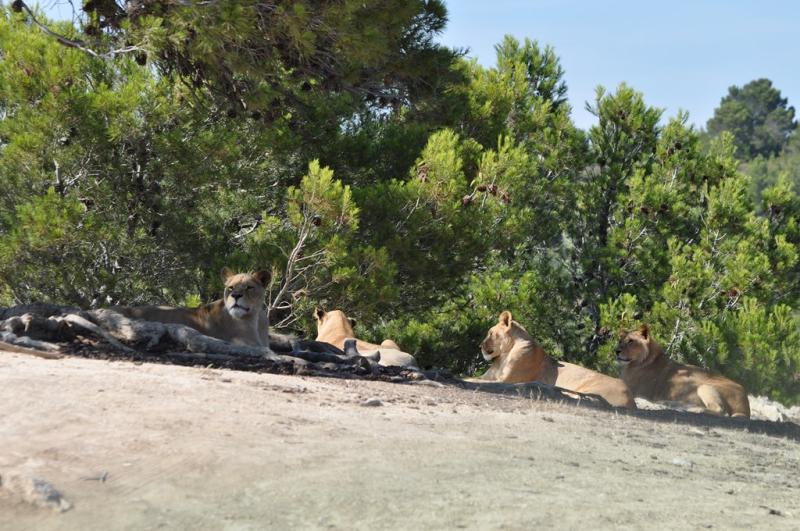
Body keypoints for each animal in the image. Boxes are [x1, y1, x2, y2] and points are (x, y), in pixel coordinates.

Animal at [479, 311, 636, 409]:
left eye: (490, 333)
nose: (480, 346)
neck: (502, 357)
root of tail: (632, 400)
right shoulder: (490, 376)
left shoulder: (507, 380)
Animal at [616, 325, 750, 418]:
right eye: (620, 341)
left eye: (631, 341)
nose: (616, 351)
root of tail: (745, 406)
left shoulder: (634, 389)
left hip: (704, 386)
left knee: (721, 410)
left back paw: (692, 410)